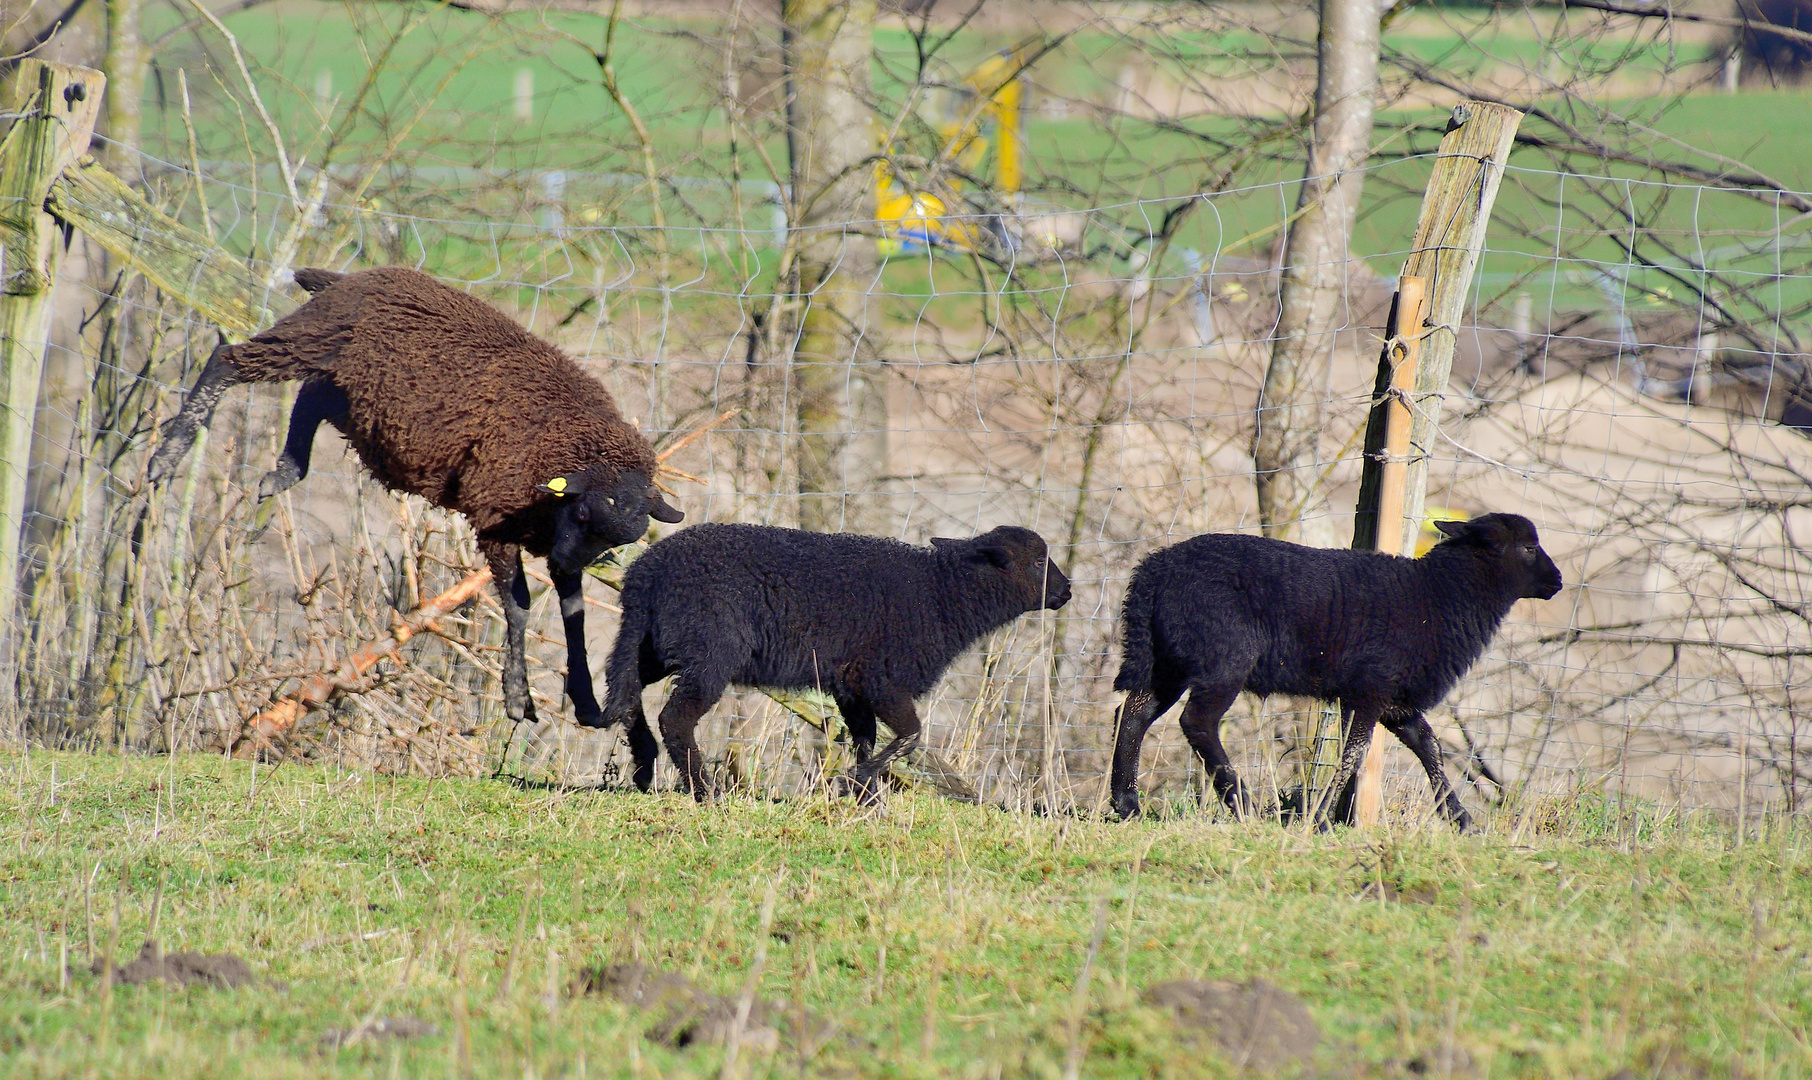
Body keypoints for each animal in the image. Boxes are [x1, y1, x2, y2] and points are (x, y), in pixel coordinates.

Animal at [144, 266, 681, 728]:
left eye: (619, 538)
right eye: (584, 509)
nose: (568, 559)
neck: (560, 442)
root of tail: (358, 276)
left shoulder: (549, 540)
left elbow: (575, 617)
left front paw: (587, 704)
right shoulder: (497, 518)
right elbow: (521, 605)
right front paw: (516, 697)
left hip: (358, 393)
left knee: (310, 395)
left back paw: (282, 473)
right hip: (316, 339)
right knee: (230, 361)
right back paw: (167, 457)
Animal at [594, 521, 1072, 800]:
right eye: (1039, 561)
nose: (1067, 591)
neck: (941, 594)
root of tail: (645, 575)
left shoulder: (851, 685)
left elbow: (865, 740)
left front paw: (867, 798)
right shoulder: (882, 678)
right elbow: (910, 736)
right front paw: (850, 785)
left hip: (654, 645)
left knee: (626, 693)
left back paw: (644, 766)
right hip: (710, 652)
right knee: (675, 718)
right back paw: (705, 791)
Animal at [1108, 511, 1565, 826]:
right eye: (1528, 547)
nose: (1558, 581)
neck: (1438, 595)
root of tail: (1155, 570)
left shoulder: (1395, 702)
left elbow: (1428, 746)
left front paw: (1461, 821)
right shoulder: (1370, 689)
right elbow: (1353, 754)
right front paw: (1320, 817)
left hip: (1169, 660)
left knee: (1133, 714)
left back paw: (1127, 804)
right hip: (1223, 658)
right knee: (1197, 722)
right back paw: (1243, 804)